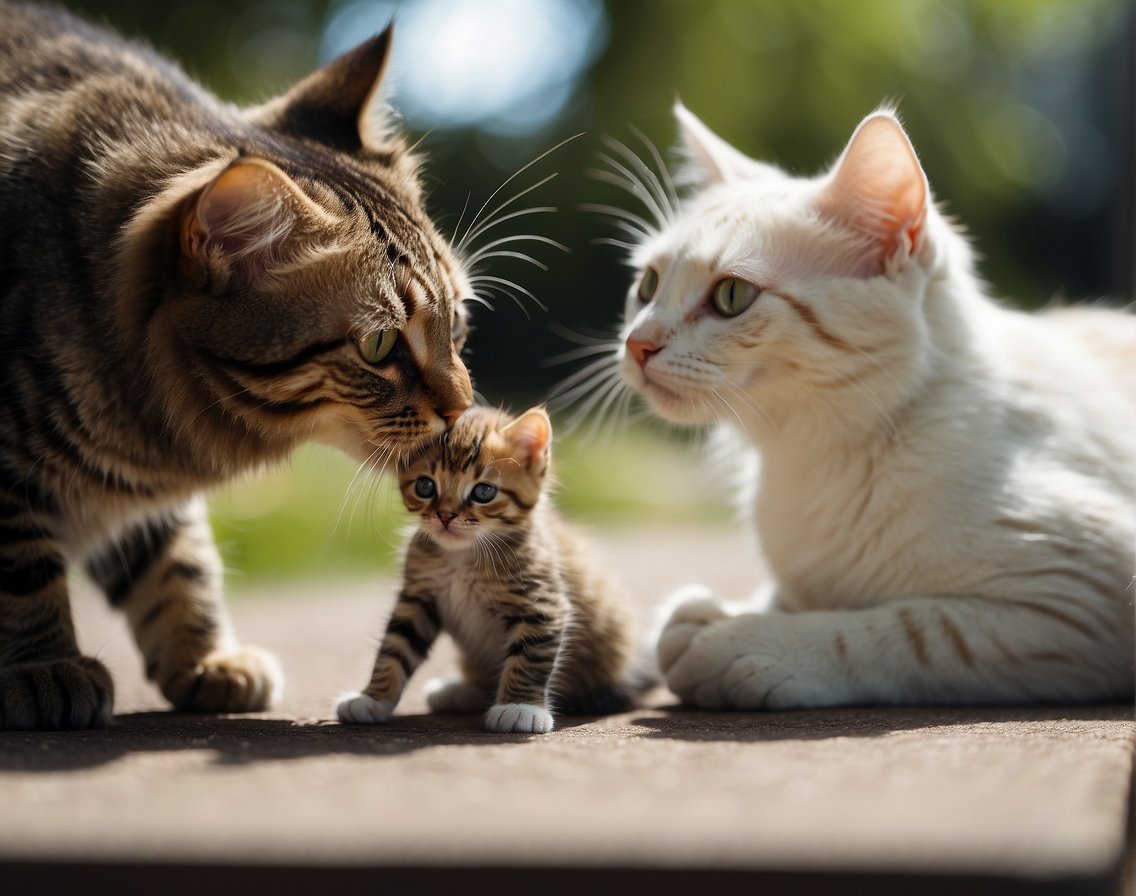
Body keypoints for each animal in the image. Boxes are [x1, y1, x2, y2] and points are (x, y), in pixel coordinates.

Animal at [0, 1, 470, 726]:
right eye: (380, 348)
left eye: (458, 325)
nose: (463, 407)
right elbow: (23, 568)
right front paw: (44, 665)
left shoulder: (147, 491)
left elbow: (179, 564)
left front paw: (205, 659)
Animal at [333, 406, 649, 735]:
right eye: (425, 486)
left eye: (483, 492)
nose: (445, 515)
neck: (463, 555)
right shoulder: (417, 597)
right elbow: (394, 648)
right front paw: (372, 698)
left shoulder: (541, 602)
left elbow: (529, 657)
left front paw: (520, 708)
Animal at [608, 103, 1131, 704]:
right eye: (647, 286)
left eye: (731, 296)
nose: (637, 344)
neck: (806, 456)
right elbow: (782, 596)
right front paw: (717, 614)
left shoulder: (1082, 591)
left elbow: (909, 627)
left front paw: (746, 638)